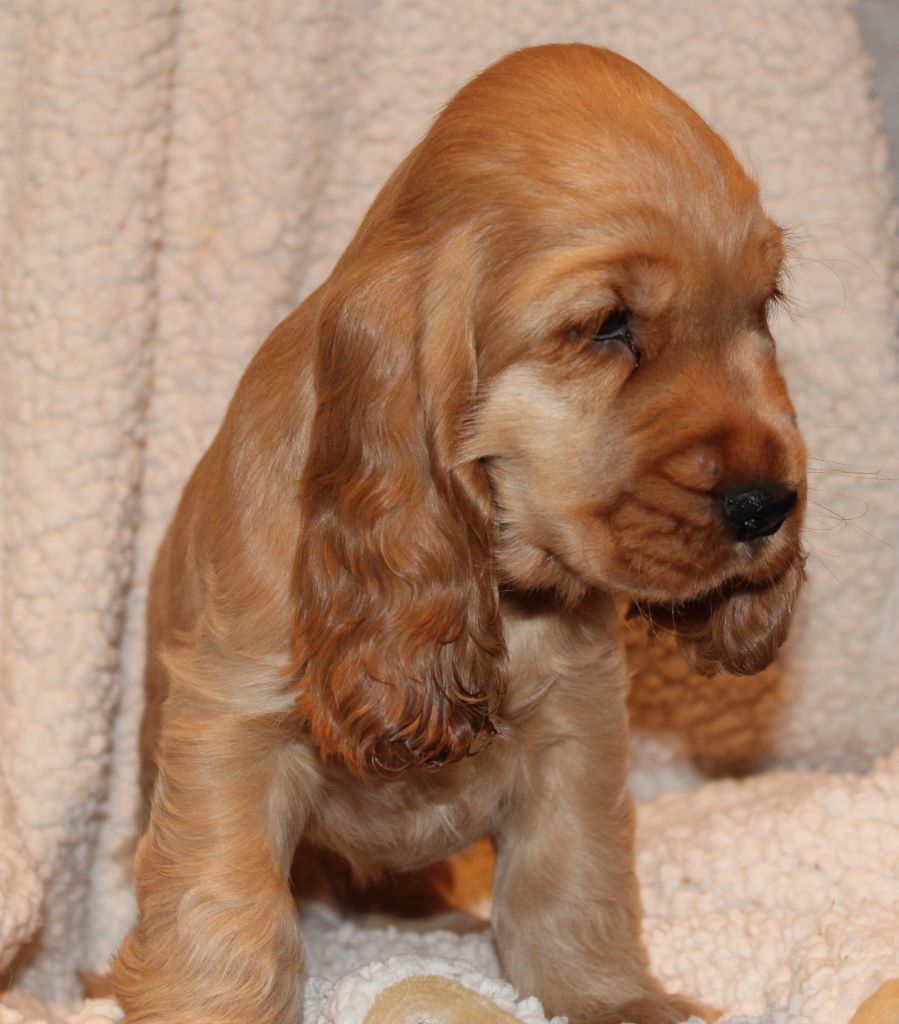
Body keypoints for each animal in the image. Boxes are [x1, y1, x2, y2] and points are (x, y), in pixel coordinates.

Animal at [111, 43, 807, 1024]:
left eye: (763, 307)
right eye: (607, 326)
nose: (769, 504)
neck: (497, 585)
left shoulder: (577, 727)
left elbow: (573, 882)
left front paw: (614, 998)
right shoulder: (230, 722)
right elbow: (223, 906)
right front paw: (206, 1004)